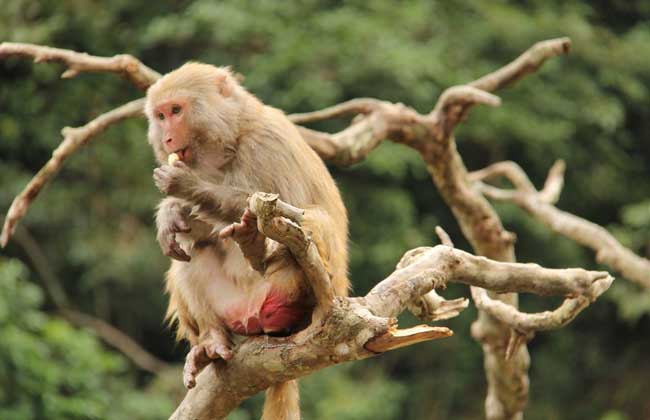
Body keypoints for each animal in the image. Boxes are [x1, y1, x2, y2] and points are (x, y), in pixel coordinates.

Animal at [144, 62, 346, 420]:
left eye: (176, 111)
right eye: (160, 115)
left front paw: (186, 187)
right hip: (233, 311)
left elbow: (285, 204)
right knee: (194, 256)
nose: (167, 138)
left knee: (311, 219)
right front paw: (170, 214)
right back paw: (211, 343)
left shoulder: (267, 144)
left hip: (302, 287)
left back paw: (254, 247)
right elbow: (200, 233)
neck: (230, 142)